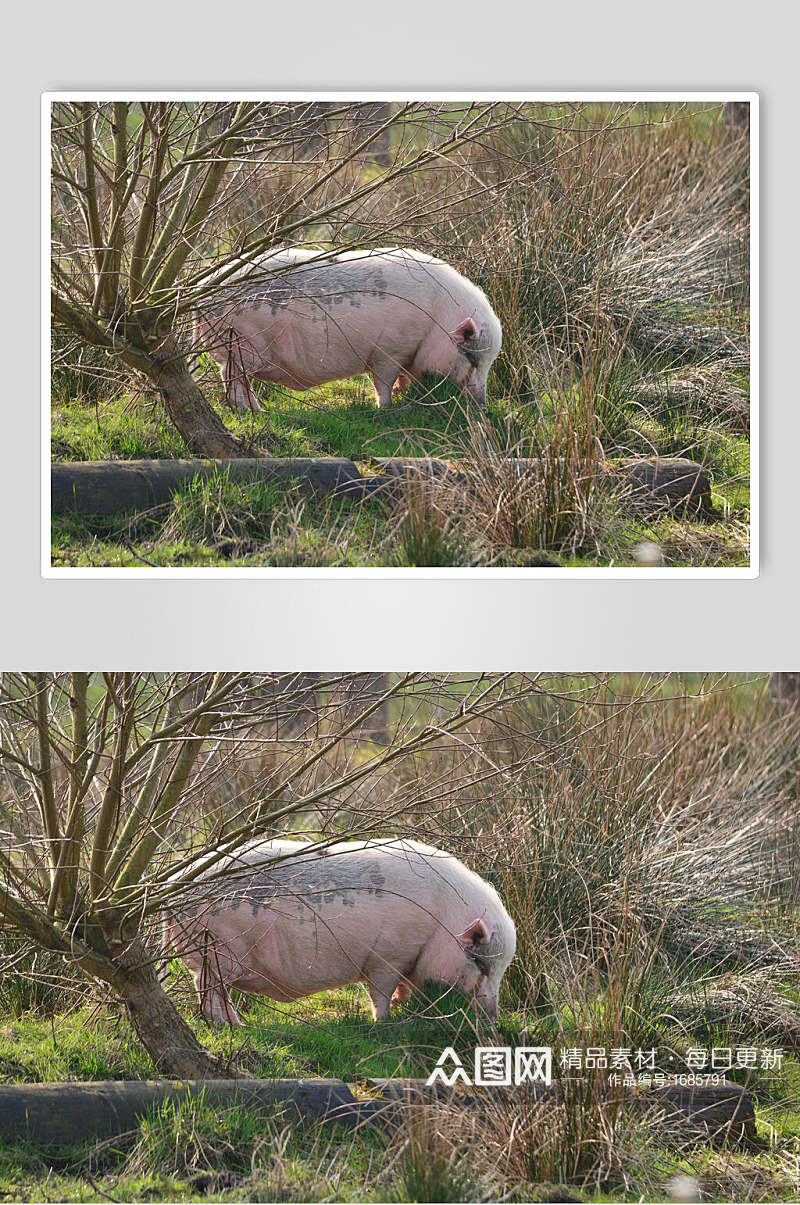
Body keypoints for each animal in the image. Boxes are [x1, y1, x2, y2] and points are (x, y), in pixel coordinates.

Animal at [163, 838, 518, 1026]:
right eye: (481, 964)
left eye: (502, 968)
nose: (493, 1019)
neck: (441, 921)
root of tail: (174, 887)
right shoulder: (386, 955)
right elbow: (380, 991)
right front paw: (383, 1023)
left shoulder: (407, 960)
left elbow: (402, 989)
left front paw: (402, 1006)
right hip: (220, 947)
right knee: (207, 986)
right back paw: (230, 1025)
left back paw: (235, 1024)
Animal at [195, 247, 501, 412]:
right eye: (471, 357)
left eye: (489, 361)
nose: (482, 405)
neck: (436, 320)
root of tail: (203, 289)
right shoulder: (388, 350)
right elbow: (383, 381)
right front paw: (385, 407)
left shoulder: (408, 354)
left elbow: (403, 379)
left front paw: (401, 395)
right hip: (241, 343)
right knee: (232, 377)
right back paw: (252, 411)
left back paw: (256, 410)